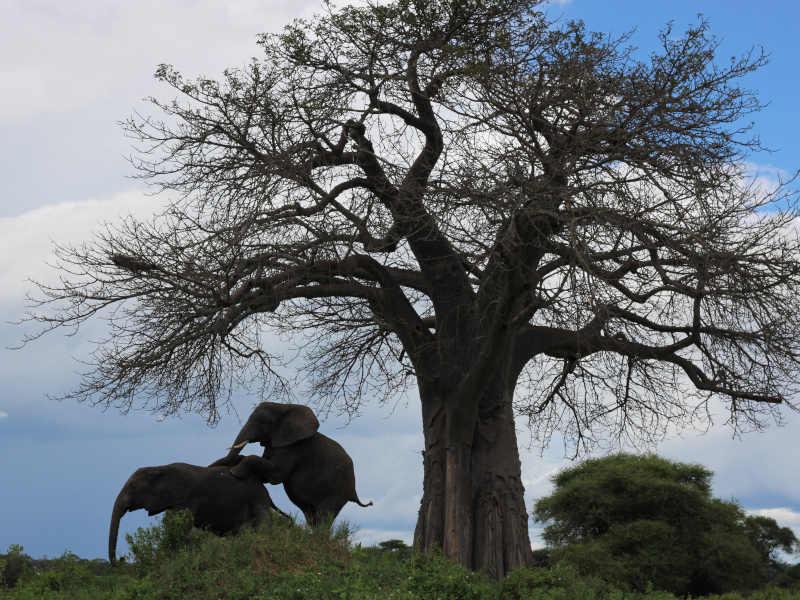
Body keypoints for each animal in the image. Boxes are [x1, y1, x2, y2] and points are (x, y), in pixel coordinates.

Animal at [108, 458, 286, 564]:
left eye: (133, 487)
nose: (121, 560)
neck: (160, 468)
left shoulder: (186, 499)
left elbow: (178, 528)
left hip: (257, 501)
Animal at [212, 404, 376, 524]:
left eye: (262, 422)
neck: (284, 406)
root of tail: (354, 492)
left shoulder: (293, 448)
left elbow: (275, 475)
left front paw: (235, 472)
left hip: (337, 492)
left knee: (323, 518)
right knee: (312, 517)